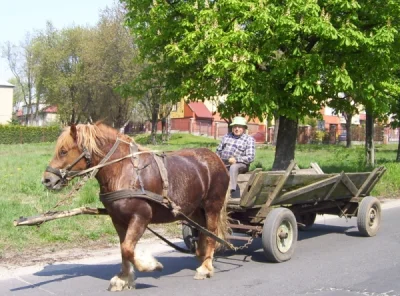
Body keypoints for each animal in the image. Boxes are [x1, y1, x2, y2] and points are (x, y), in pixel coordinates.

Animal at [41, 122, 230, 292]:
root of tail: (217, 159)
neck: (124, 170)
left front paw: (150, 265)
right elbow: (123, 248)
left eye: (63, 151)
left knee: (211, 235)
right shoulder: (118, 220)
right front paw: (124, 278)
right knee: (203, 233)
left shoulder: (141, 217)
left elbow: (128, 248)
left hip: (212, 206)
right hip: (195, 210)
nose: (47, 180)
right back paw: (202, 257)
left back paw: (205, 267)